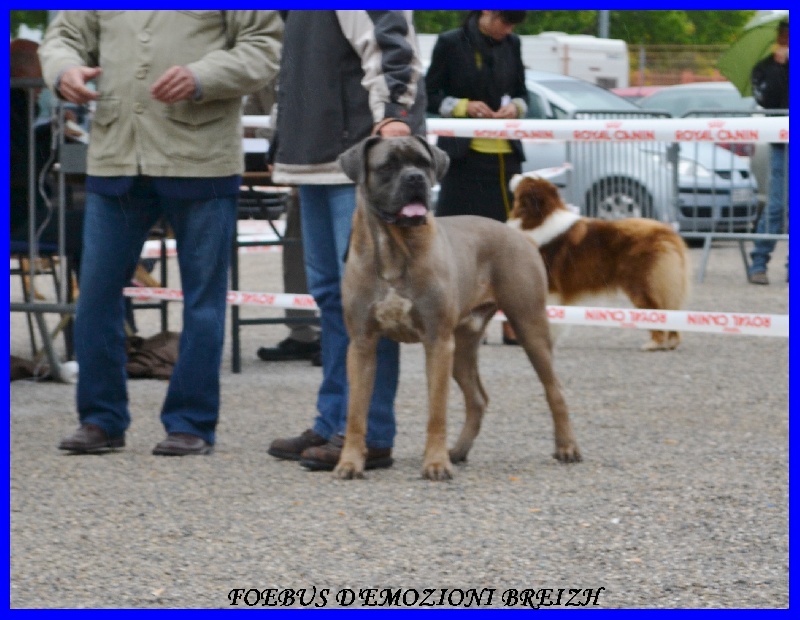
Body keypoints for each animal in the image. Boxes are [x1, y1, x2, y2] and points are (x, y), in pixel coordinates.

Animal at [334, 136, 580, 480]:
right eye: (388, 166)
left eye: (423, 163)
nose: (415, 178)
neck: (395, 247)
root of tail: (519, 235)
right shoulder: (361, 344)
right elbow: (356, 412)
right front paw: (349, 462)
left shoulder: (437, 342)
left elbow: (437, 412)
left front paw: (435, 464)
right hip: (463, 345)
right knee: (478, 399)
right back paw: (460, 450)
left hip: (528, 325)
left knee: (554, 389)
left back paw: (567, 447)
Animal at [510, 177, 692, 352]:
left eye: (524, 180)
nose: (514, 175)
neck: (539, 218)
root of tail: (667, 232)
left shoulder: (551, 288)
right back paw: (671, 343)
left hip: (641, 285)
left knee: (656, 311)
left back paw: (654, 344)